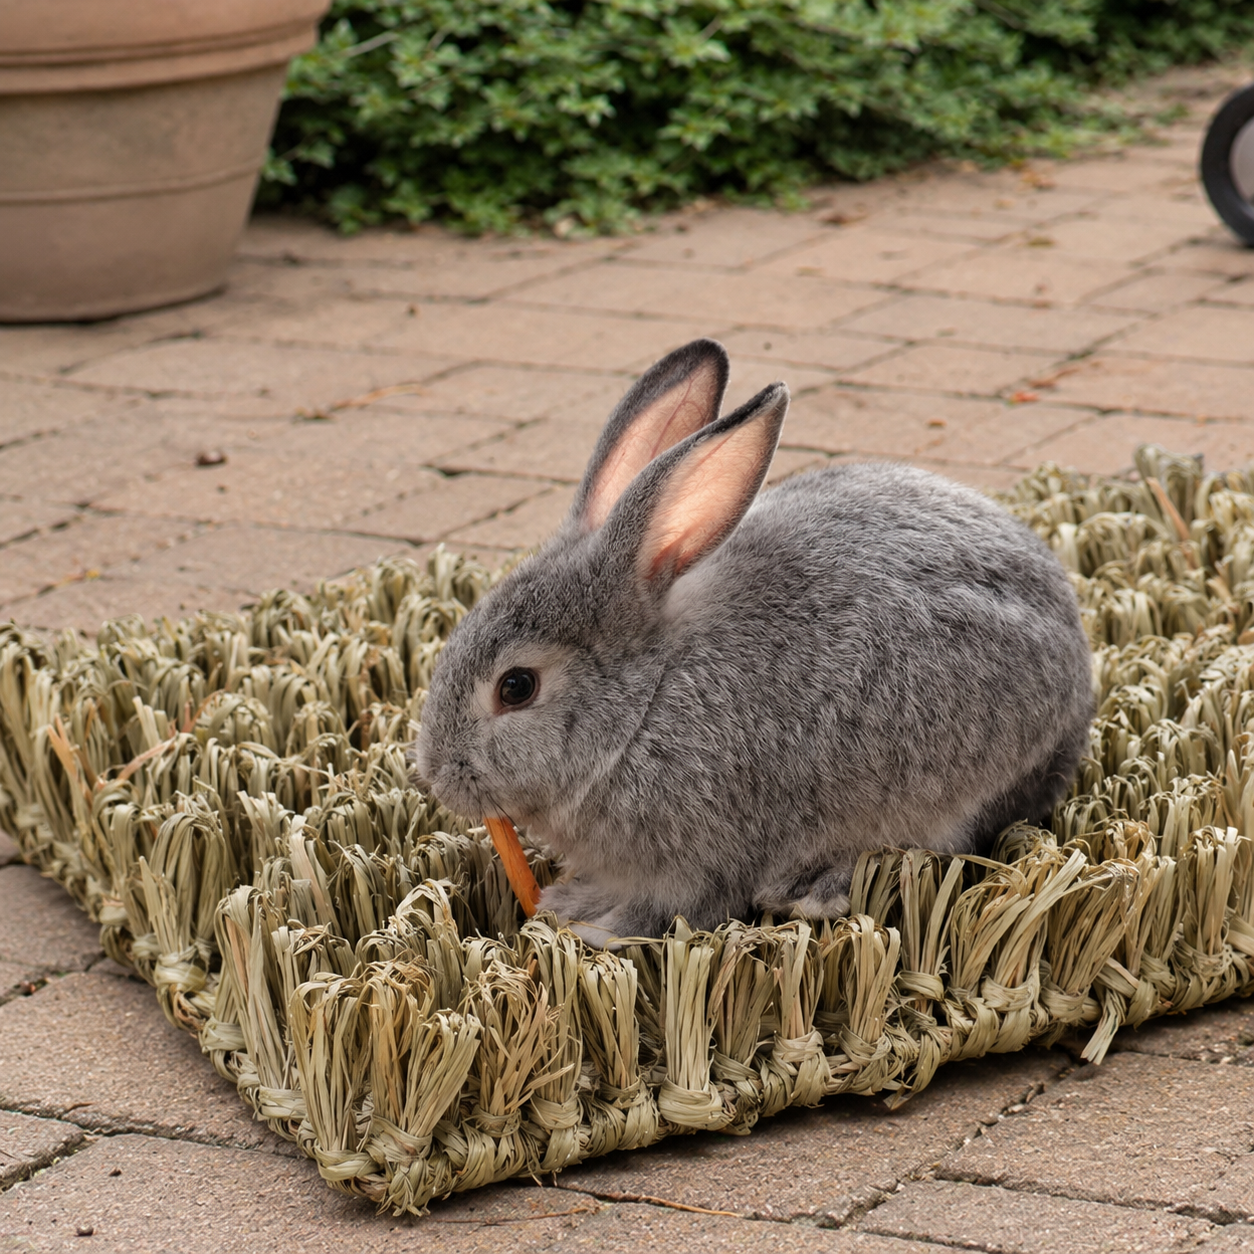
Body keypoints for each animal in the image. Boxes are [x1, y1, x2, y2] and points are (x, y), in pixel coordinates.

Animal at [412, 338, 1093, 946]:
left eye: (516, 687)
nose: (438, 778)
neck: (644, 705)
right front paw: (571, 900)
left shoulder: (705, 853)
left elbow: (677, 905)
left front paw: (593, 926)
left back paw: (812, 891)